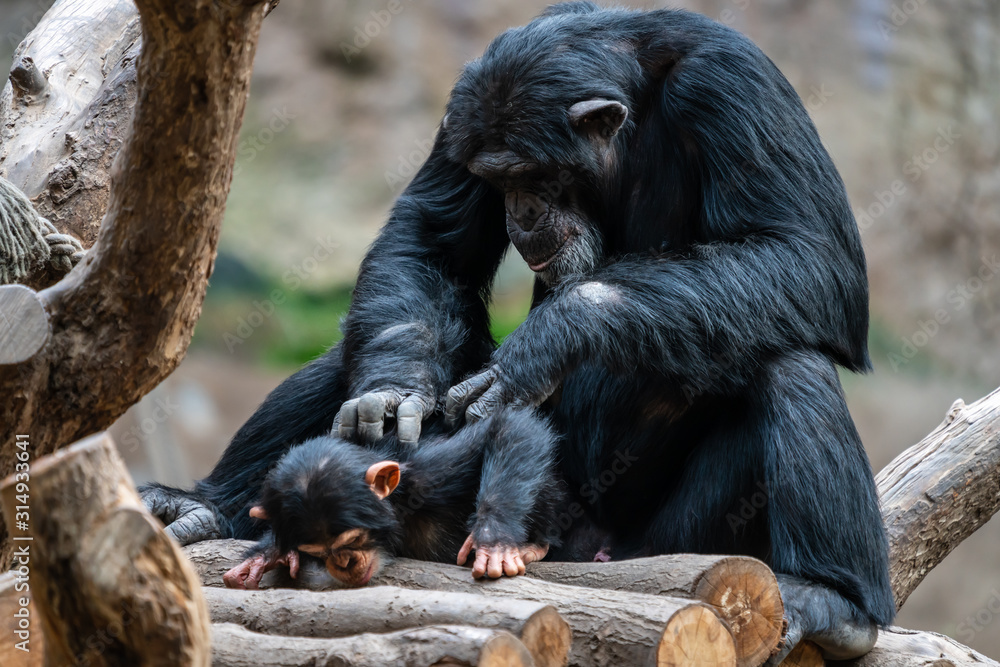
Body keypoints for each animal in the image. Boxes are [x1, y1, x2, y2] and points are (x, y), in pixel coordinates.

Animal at [223, 408, 564, 588]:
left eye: (353, 540)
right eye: (317, 553)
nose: (344, 563)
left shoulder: (428, 477)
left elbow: (507, 428)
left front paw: (495, 542)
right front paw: (267, 554)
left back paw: (533, 545)